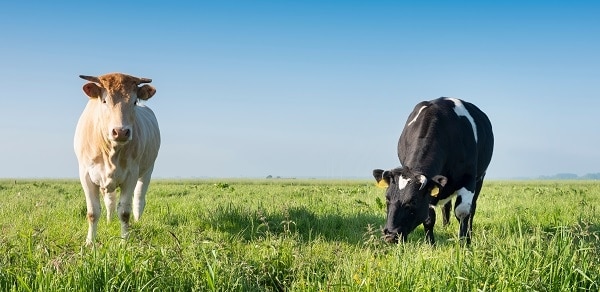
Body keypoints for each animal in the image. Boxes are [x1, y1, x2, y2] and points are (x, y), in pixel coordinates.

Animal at [74, 72, 161, 244]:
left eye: (134, 101)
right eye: (104, 100)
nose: (121, 132)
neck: (110, 152)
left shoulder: (131, 175)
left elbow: (124, 212)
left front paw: (124, 241)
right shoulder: (85, 174)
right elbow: (93, 212)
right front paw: (90, 242)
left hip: (147, 170)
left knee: (139, 199)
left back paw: (138, 220)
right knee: (110, 201)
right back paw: (109, 221)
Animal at [372, 97, 494, 244]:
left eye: (413, 201)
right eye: (387, 198)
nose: (390, 234)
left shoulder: (468, 178)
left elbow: (463, 212)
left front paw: (465, 243)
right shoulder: (431, 188)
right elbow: (429, 218)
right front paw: (430, 244)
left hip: (480, 177)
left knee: (472, 208)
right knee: (446, 206)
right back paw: (446, 227)